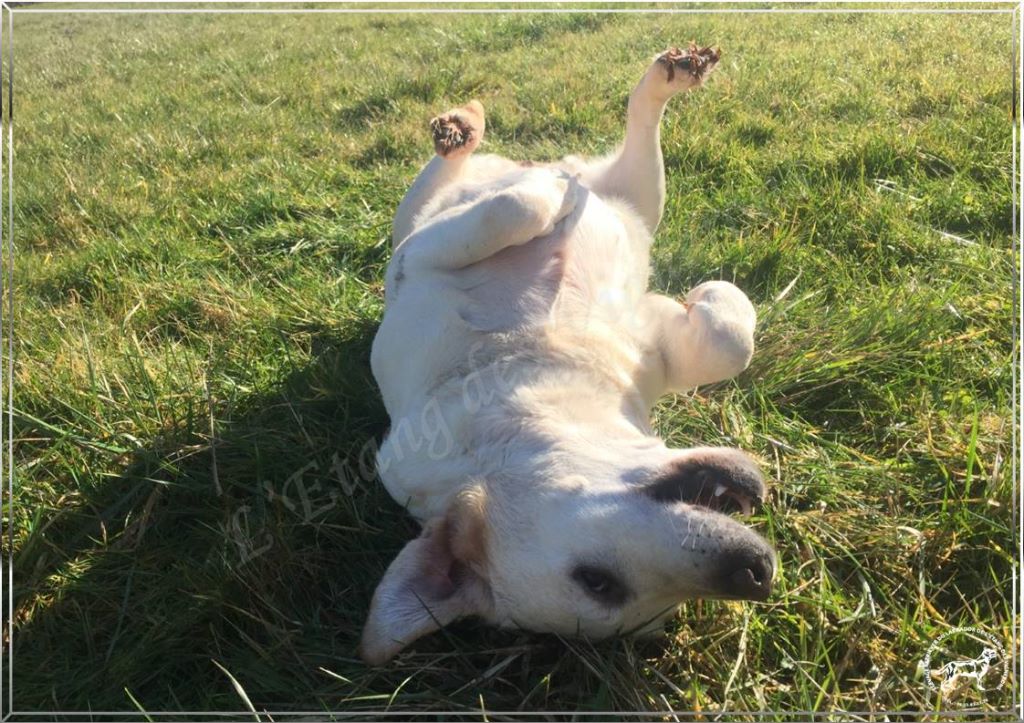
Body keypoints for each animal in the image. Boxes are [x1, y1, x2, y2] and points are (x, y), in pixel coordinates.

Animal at [364, 46, 770, 663]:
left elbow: (728, 344)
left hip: (629, 195)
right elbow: (521, 206)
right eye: (599, 583)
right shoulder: (413, 257)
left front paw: (703, 298)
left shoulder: (424, 263)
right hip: (435, 214)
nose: (757, 573)